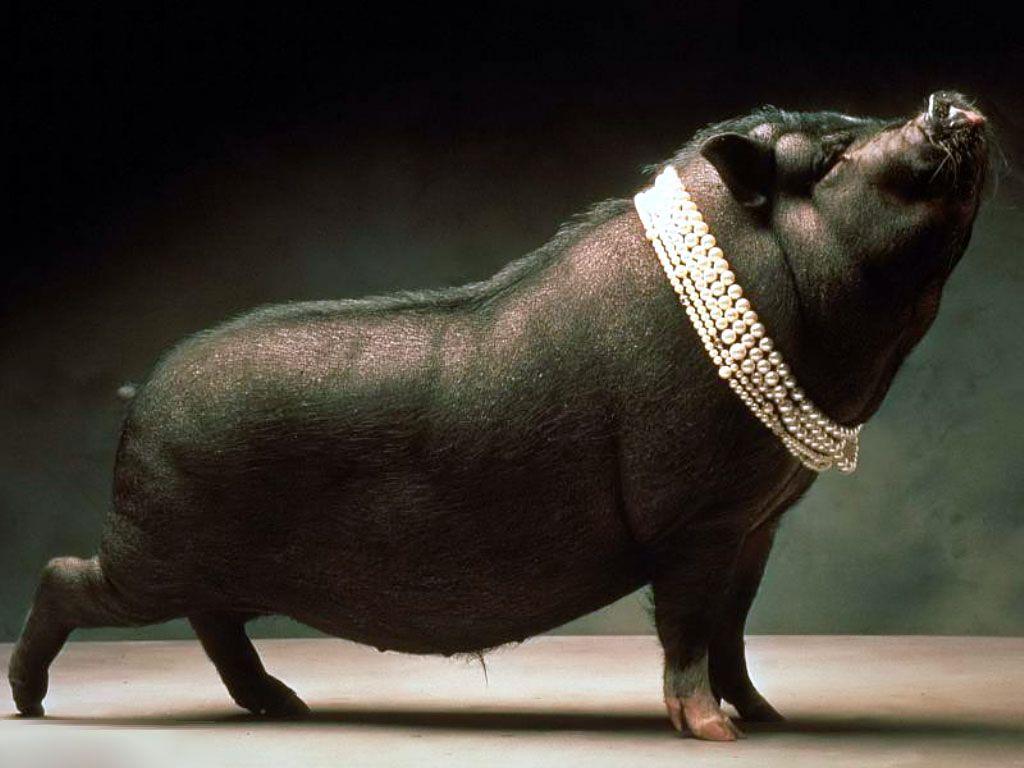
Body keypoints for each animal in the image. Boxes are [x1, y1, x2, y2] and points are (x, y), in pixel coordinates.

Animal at [8, 92, 988, 740]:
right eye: (828, 158)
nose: (948, 100)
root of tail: (142, 396)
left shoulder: (757, 525)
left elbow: (734, 629)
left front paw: (768, 718)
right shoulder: (694, 522)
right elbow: (688, 625)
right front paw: (714, 732)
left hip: (203, 565)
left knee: (216, 627)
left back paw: (284, 703)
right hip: (154, 551)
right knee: (64, 575)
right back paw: (32, 705)